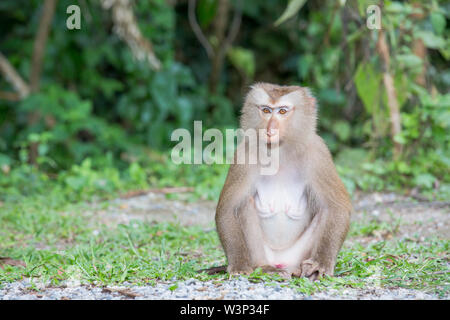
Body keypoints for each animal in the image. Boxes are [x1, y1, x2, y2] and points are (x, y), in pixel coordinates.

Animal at [200, 82, 352, 280]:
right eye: (266, 110)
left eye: (282, 111)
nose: (270, 129)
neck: (279, 152)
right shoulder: (244, 155)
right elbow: (228, 209)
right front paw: (239, 265)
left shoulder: (318, 154)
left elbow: (335, 208)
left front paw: (320, 264)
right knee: (244, 205)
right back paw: (265, 268)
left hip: (297, 255)